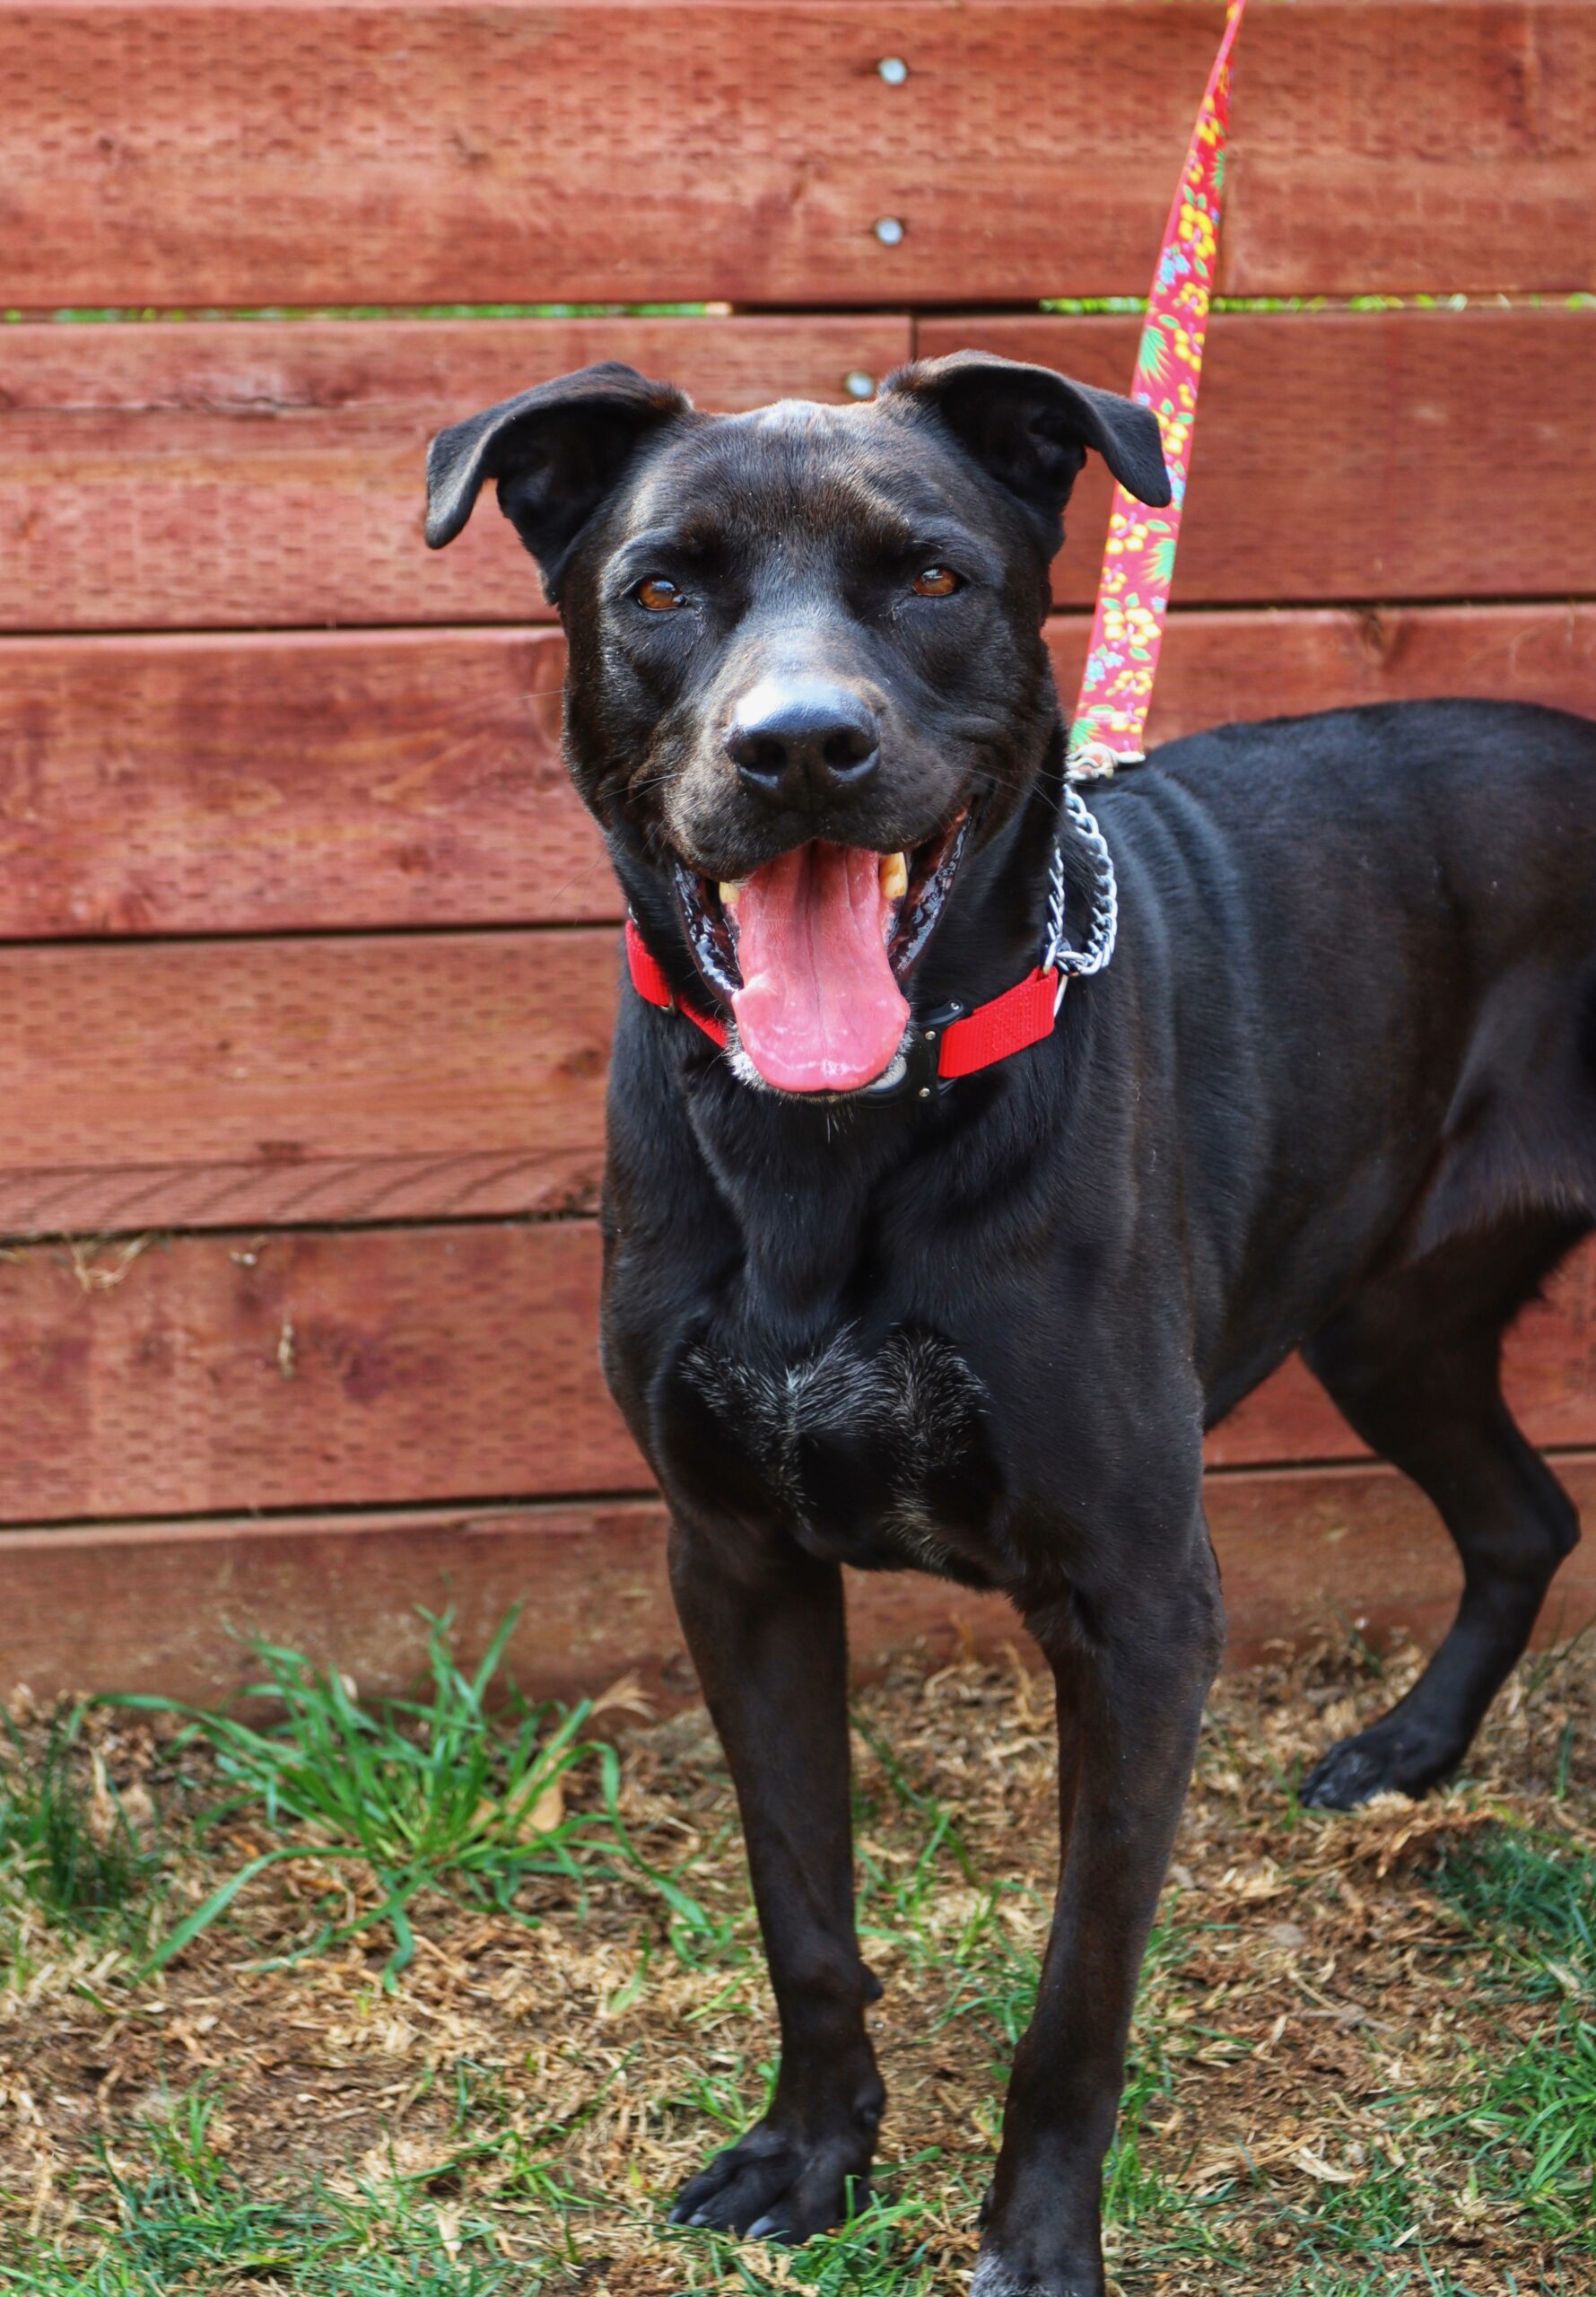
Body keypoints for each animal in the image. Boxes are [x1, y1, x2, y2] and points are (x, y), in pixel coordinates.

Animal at [427, 358, 1596, 2297]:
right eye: (660, 588)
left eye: (932, 577)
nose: (798, 748)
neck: (834, 1145)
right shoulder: (732, 1561)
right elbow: (801, 1908)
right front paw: (809, 2154)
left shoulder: (1138, 1607)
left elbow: (1075, 1995)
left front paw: (1036, 2244)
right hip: (1389, 1316)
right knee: (1522, 1514)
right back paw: (1405, 1754)